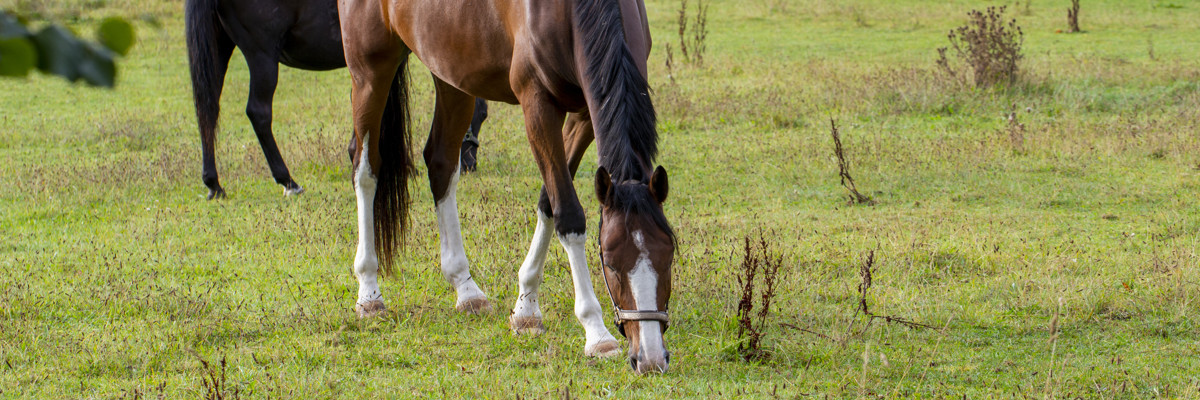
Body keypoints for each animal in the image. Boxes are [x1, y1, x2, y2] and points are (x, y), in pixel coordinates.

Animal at [182, 0, 487, 199]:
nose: (468, 164)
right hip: (262, 56)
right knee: (258, 112)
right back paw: (287, 180)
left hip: (221, 48)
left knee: (208, 109)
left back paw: (213, 183)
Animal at [338, 0, 676, 374]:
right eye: (611, 263)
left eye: (669, 258)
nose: (650, 358)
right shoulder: (538, 106)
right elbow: (569, 215)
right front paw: (595, 331)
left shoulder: (585, 114)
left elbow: (549, 202)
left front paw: (526, 308)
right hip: (369, 71)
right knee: (366, 169)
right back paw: (369, 292)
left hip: (451, 74)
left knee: (441, 163)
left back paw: (466, 288)